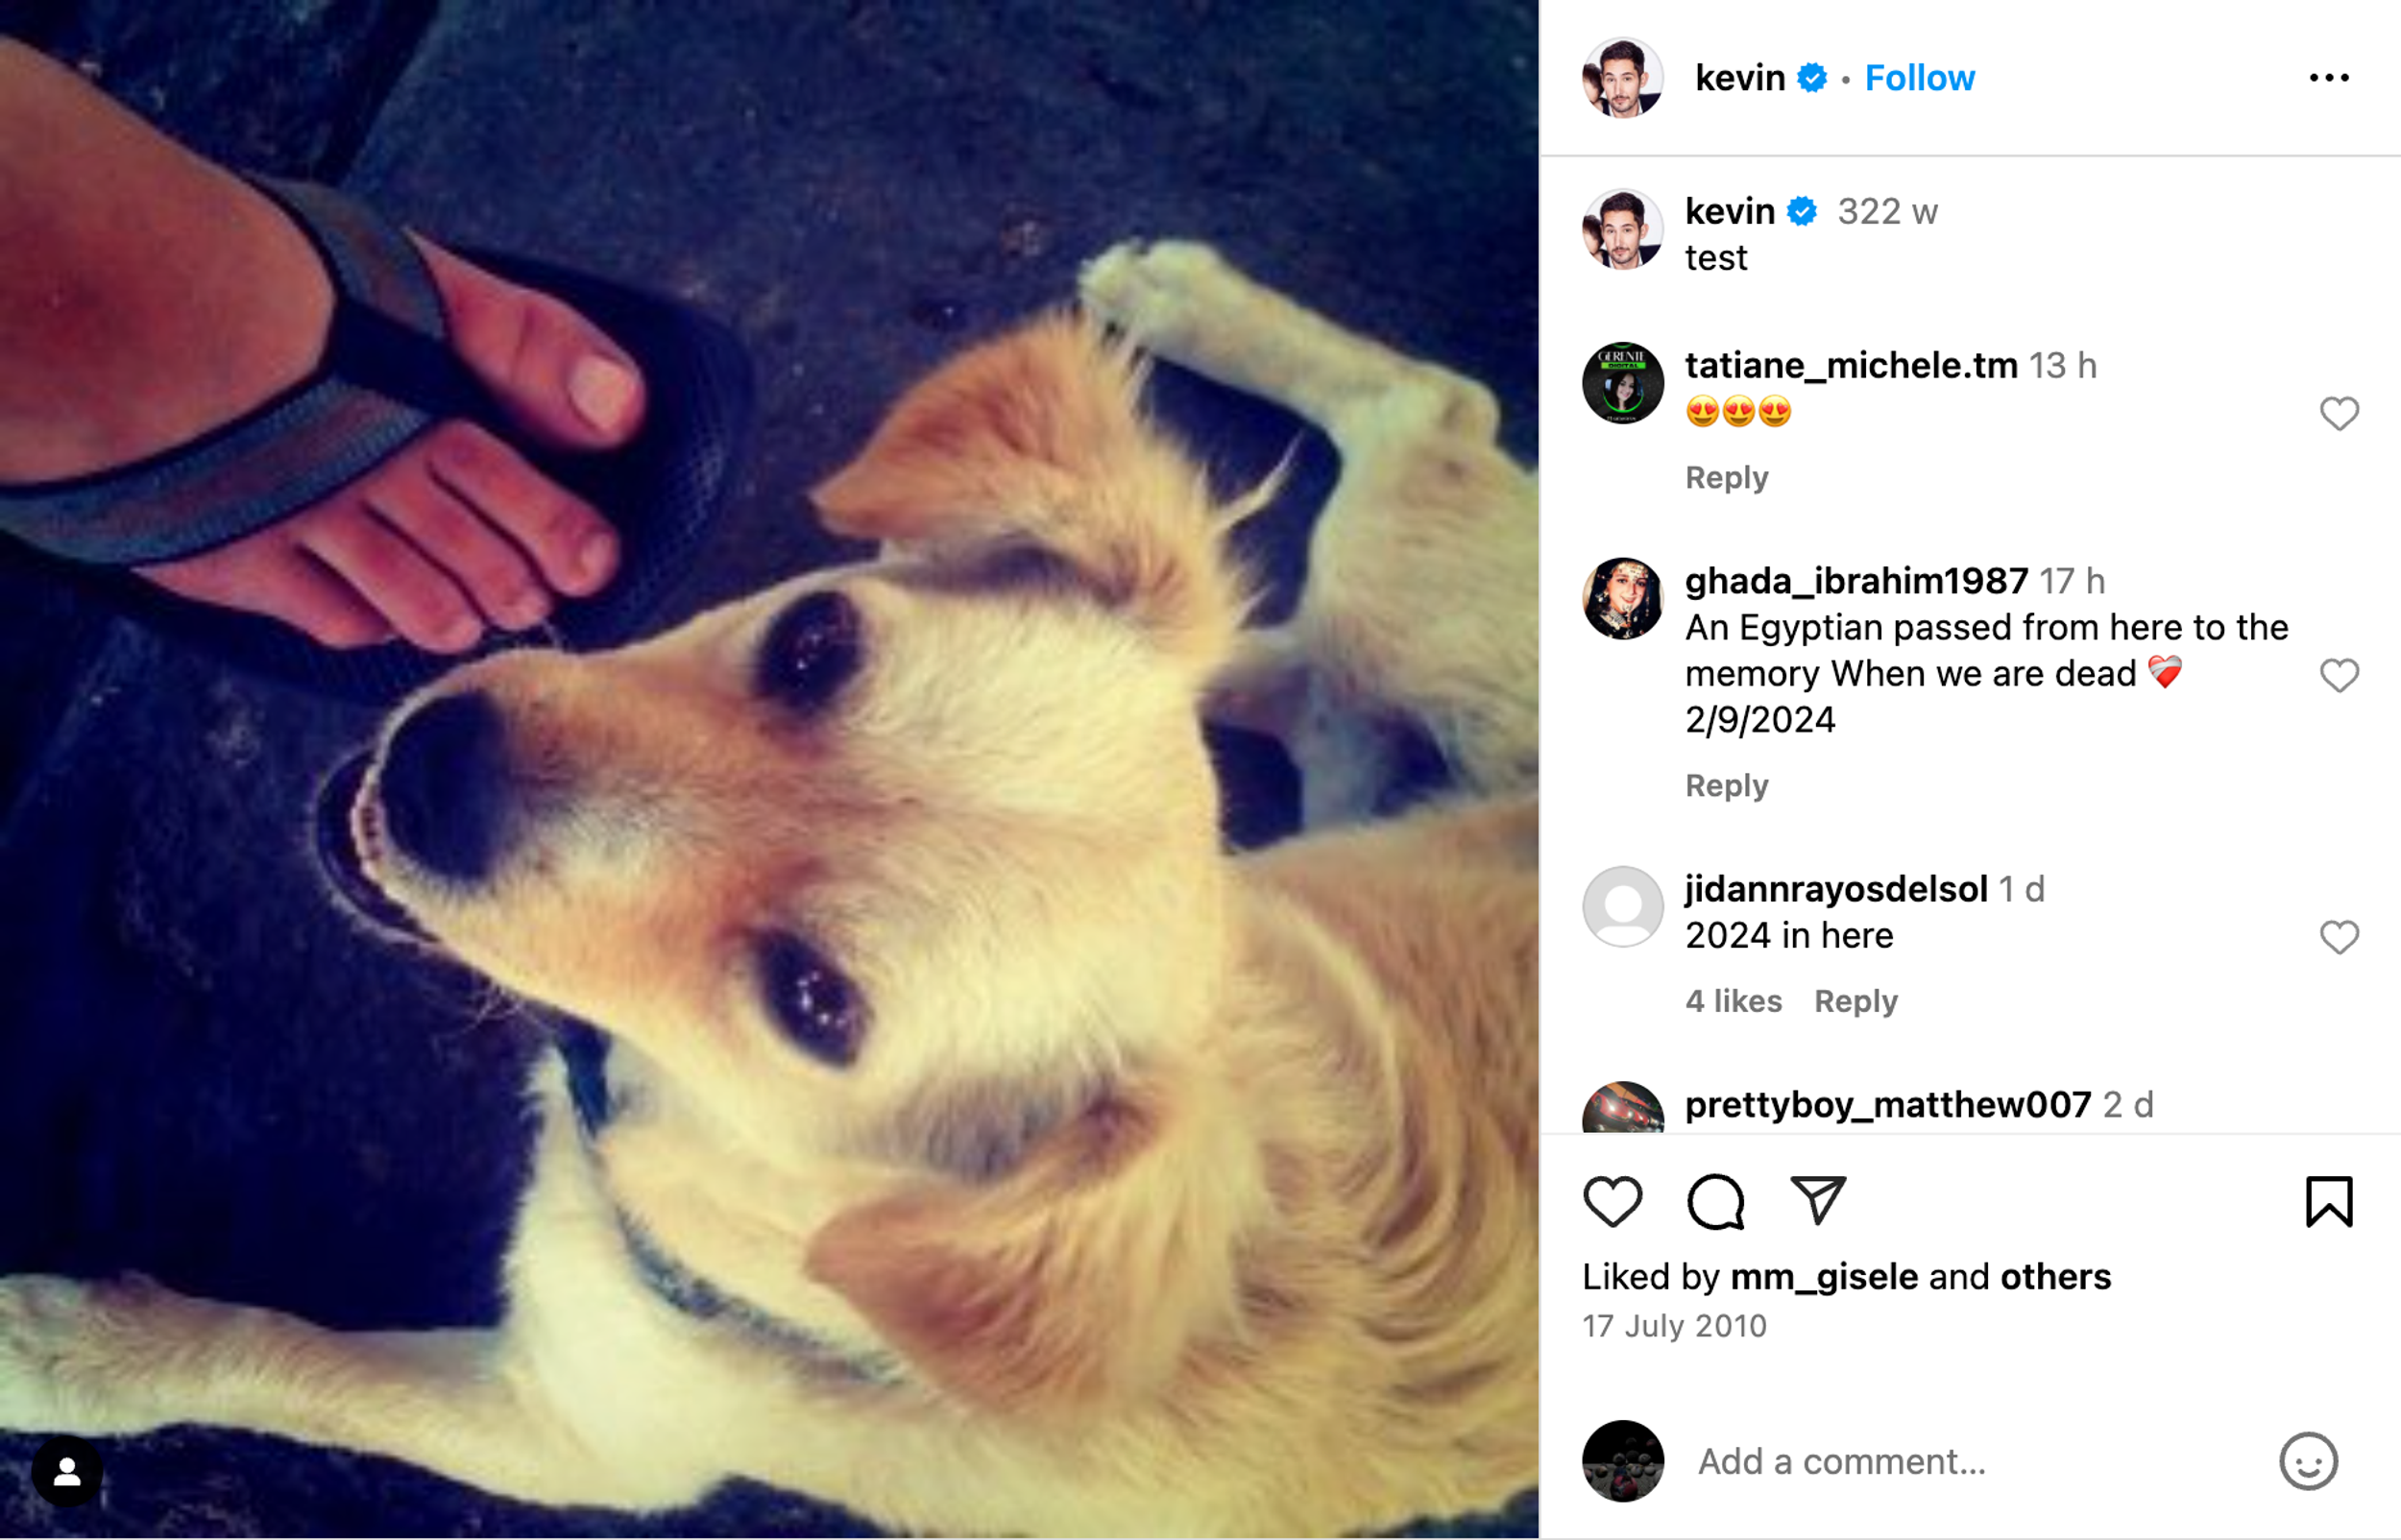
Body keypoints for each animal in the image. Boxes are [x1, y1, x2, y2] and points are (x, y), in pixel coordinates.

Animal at [0, 242, 1536, 1536]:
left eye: (813, 1002)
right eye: (813, 641)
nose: (438, 773)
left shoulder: (577, 1432)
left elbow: (293, 1364)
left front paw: (75, 1348)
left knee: (1442, 410)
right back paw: (1187, 307)